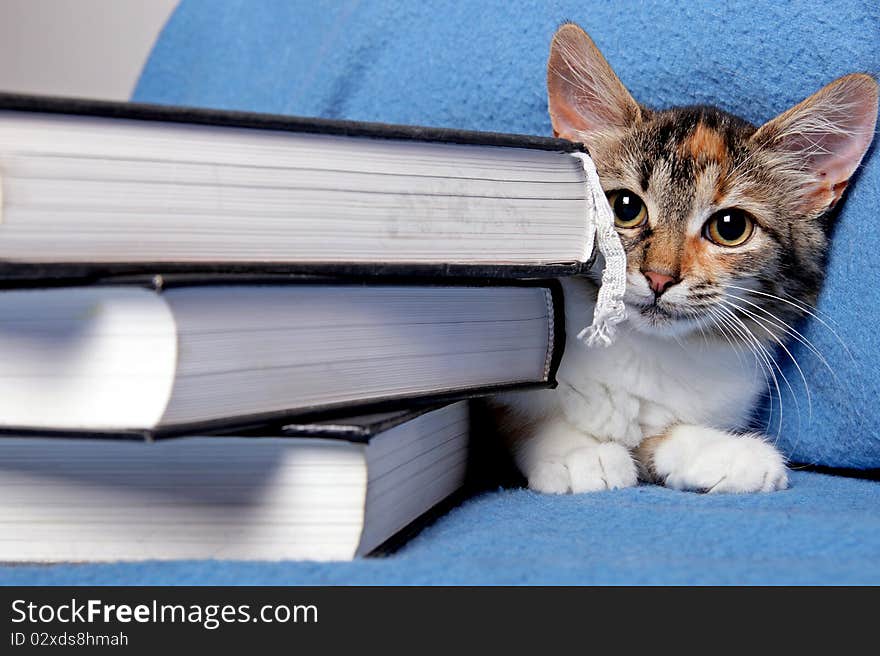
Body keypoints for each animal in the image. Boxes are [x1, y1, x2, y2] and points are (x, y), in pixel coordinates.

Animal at [492, 23, 876, 494]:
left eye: (730, 227)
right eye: (624, 207)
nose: (659, 277)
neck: (646, 351)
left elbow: (663, 431)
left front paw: (726, 453)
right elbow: (520, 413)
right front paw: (577, 453)